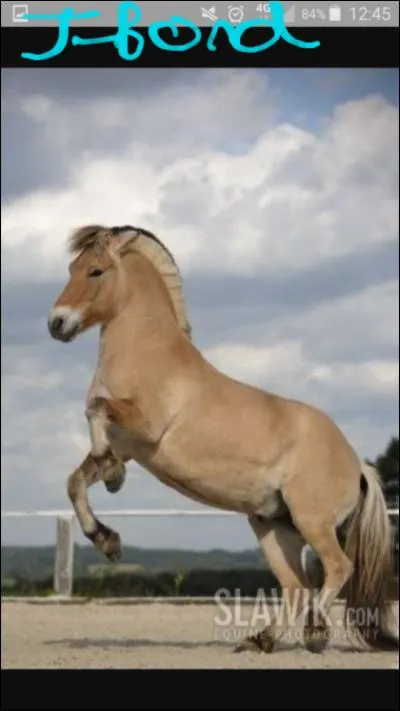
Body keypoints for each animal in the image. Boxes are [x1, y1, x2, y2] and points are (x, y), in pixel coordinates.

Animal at [47, 223, 398, 655]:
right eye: (71, 268)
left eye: (95, 271)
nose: (57, 323)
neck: (148, 354)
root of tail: (357, 463)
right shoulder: (128, 446)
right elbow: (76, 480)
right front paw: (109, 539)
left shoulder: (145, 426)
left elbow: (93, 407)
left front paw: (113, 479)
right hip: (273, 527)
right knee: (297, 586)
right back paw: (259, 640)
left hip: (312, 521)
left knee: (336, 568)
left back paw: (315, 635)